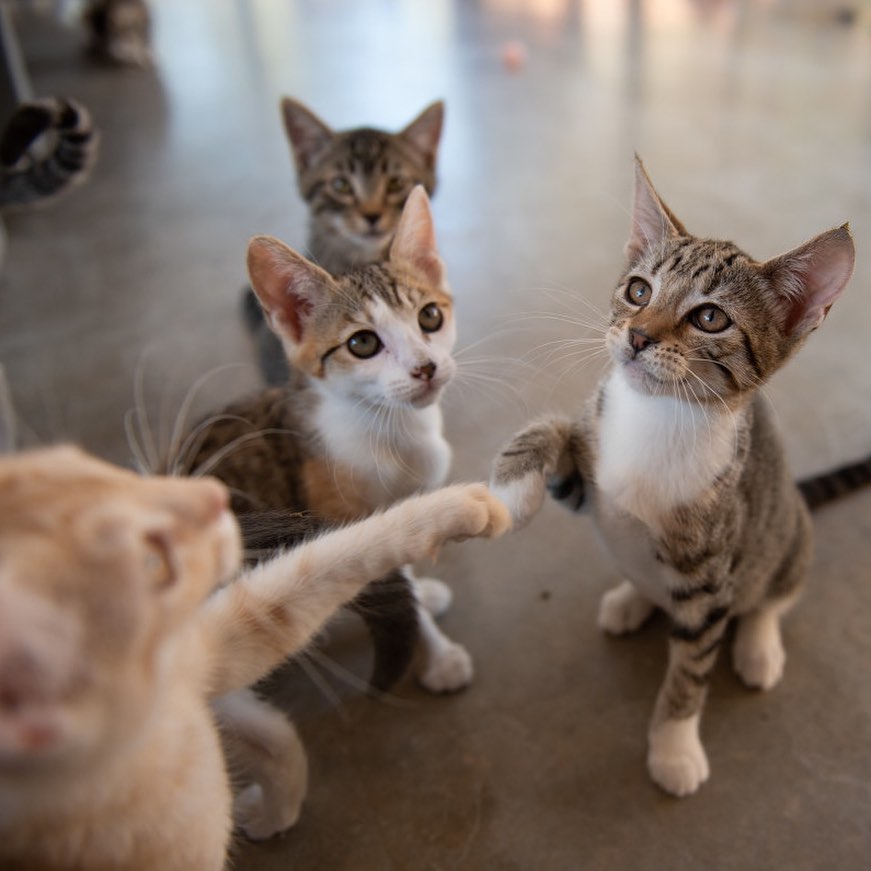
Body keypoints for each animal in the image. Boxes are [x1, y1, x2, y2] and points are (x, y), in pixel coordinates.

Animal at [178, 189, 476, 696]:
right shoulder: (342, 519)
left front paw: (420, 593)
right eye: (362, 344)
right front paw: (437, 656)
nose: (425, 368)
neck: (393, 433)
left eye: (430, 317)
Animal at [490, 155, 860, 796]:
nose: (638, 335)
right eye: (638, 290)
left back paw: (759, 647)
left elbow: (690, 670)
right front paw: (512, 484)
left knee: (773, 594)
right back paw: (631, 597)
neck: (656, 418)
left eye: (710, 317)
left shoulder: (710, 583)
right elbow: (555, 429)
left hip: (787, 531)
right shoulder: (588, 479)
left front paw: (674, 746)